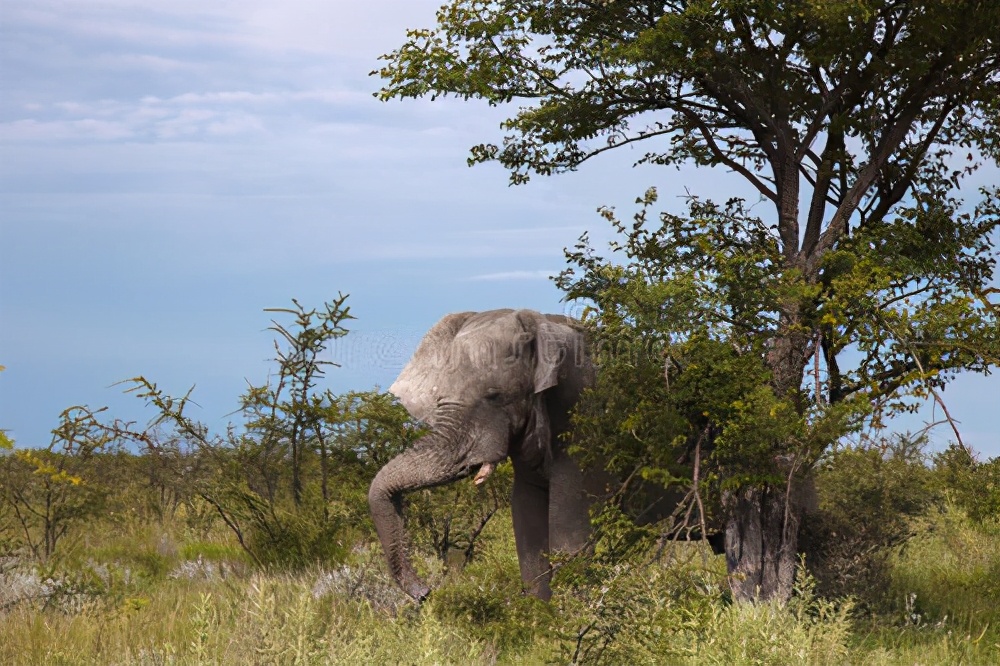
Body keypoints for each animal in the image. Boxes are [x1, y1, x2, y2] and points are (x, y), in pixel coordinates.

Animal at [368, 308, 596, 601]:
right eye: (438, 400)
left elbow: (570, 529)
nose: (425, 592)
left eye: (494, 396)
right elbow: (526, 518)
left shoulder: (579, 407)